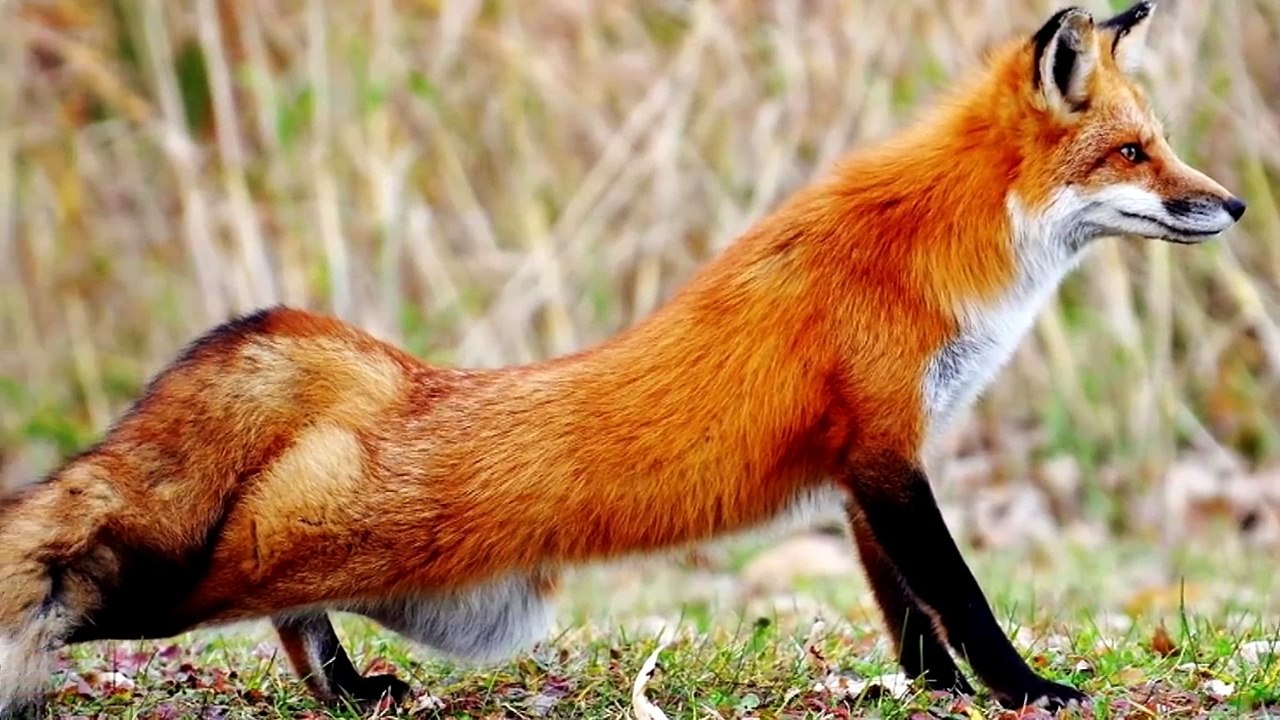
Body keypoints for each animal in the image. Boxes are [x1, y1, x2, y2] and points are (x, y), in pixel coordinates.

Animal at [0, 1, 1247, 716]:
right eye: (1132, 151)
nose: (1234, 204)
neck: (938, 252)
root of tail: (386, 378)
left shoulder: (862, 467)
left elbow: (905, 609)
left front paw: (932, 693)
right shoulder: (887, 451)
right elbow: (961, 595)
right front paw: (1024, 690)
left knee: (292, 620)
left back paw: (347, 692)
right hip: (217, 575)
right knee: (97, 582)